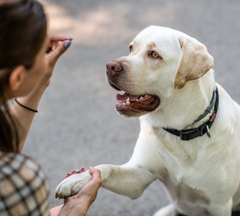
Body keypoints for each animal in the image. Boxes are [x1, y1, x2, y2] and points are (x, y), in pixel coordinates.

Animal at [55, 26, 240, 215]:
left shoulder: (219, 205)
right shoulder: (139, 176)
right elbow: (107, 167)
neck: (181, 132)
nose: (110, 66)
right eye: (131, 48)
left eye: (154, 54)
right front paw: (78, 179)